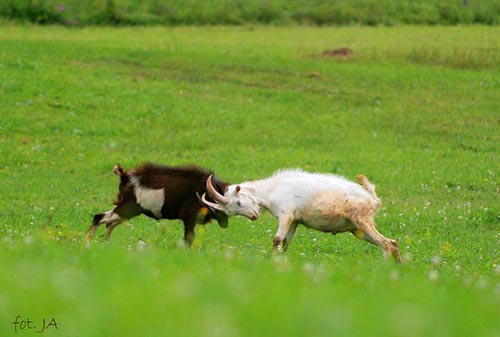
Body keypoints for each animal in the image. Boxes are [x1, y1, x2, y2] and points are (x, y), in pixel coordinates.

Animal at [201, 169, 400, 262]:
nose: (254, 216)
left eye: (238, 202)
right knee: (392, 242)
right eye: (231, 211)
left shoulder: (286, 215)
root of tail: (373, 199)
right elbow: (286, 242)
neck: (272, 190)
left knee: (385, 243)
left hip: (363, 221)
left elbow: (276, 239)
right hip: (358, 229)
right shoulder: (295, 221)